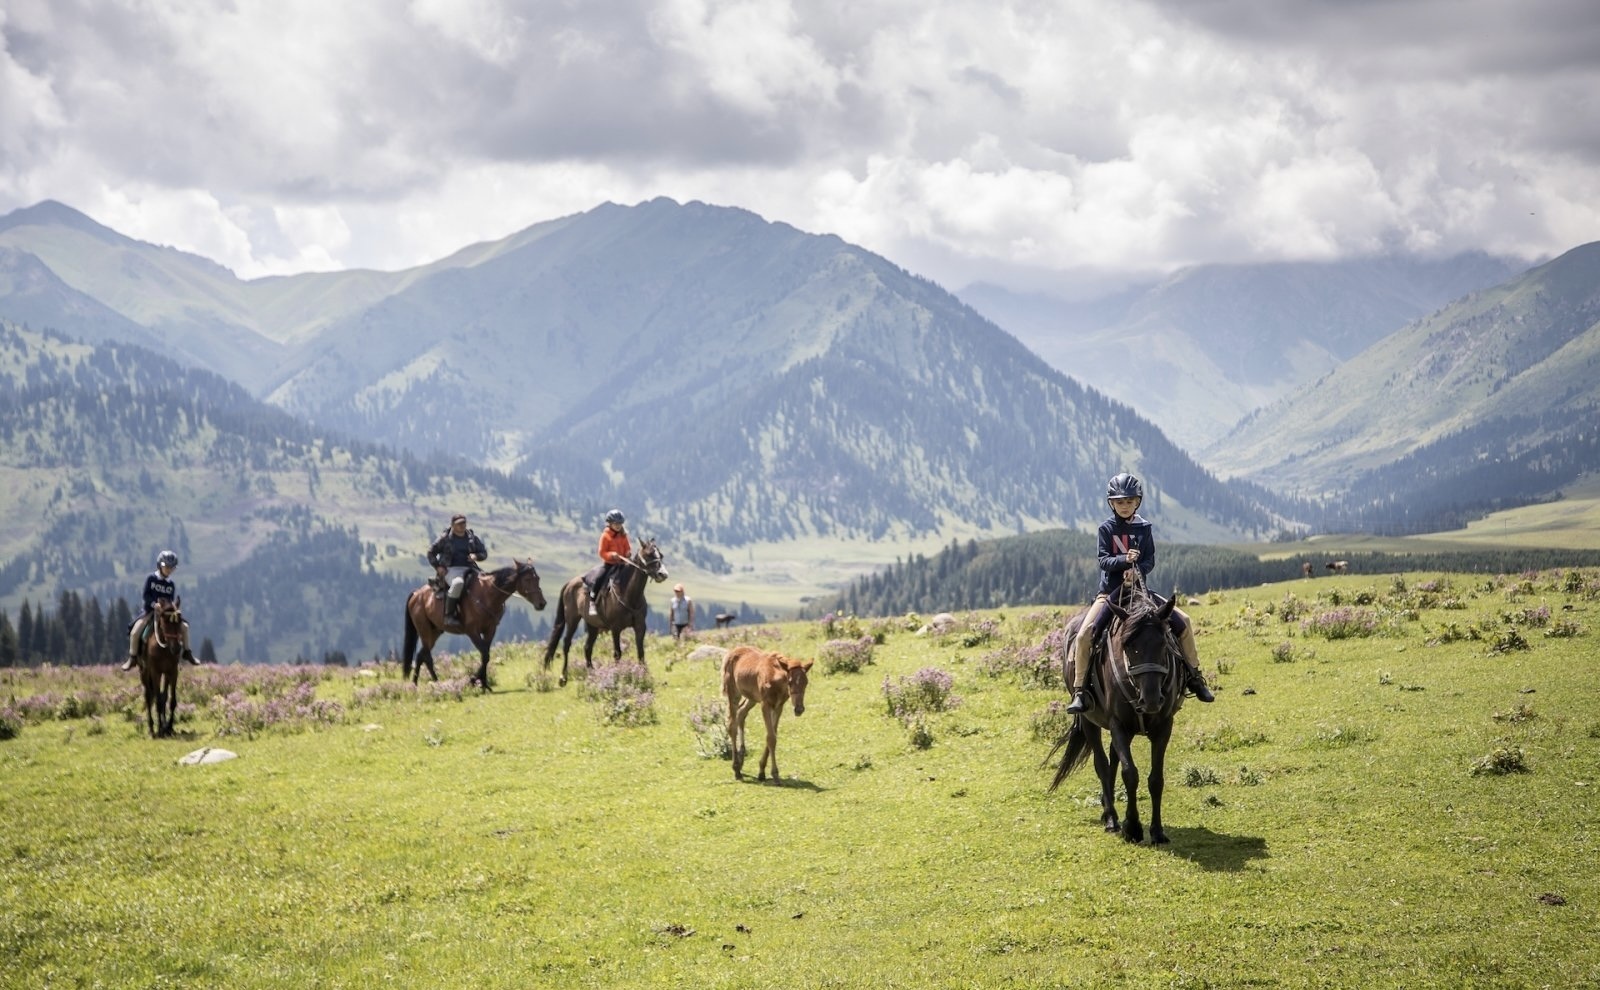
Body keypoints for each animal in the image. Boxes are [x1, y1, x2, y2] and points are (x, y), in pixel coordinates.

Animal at [138, 594, 184, 735]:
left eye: (180, 621)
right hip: (144, 673)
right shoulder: (155, 672)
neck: (164, 648)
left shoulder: (172, 671)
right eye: (165, 621)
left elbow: (171, 700)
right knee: (148, 697)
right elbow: (157, 701)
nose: (176, 648)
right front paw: (160, 729)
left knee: (163, 696)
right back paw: (152, 728)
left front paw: (168, 726)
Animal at [403, 556, 547, 690]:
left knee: (421, 656)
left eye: (538, 578)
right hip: (425, 631)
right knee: (427, 657)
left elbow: (486, 655)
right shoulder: (472, 632)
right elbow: (485, 654)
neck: (488, 595)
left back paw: (418, 684)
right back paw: (435, 684)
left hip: (435, 632)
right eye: (527, 579)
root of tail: (416, 593)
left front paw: (483, 683)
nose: (542, 604)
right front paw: (474, 681)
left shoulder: (490, 630)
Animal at [544, 537, 668, 684]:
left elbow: (641, 652)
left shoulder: (640, 626)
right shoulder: (615, 628)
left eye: (660, 555)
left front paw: (644, 676)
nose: (663, 574)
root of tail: (569, 584)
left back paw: (592, 674)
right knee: (567, 644)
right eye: (649, 554)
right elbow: (617, 653)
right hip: (572, 619)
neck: (628, 594)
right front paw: (618, 675)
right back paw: (563, 677)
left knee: (587, 647)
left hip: (592, 625)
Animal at [723, 646, 812, 786]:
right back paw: (737, 769)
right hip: (733, 693)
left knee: (741, 712)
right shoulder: (765, 704)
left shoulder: (778, 706)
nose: (799, 709)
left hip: (752, 698)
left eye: (806, 682)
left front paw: (761, 772)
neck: (775, 678)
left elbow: (772, 735)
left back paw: (741, 758)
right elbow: (771, 737)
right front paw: (775, 775)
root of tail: (732, 652)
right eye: (790, 681)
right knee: (732, 725)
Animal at [1049, 585, 1190, 850]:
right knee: (1102, 765)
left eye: (1164, 643)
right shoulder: (1118, 724)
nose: (1151, 700)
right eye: (1128, 646)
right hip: (1089, 721)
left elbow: (1156, 779)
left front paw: (1157, 831)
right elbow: (1129, 773)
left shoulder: (1164, 726)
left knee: (1113, 760)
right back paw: (1111, 818)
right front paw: (1132, 827)